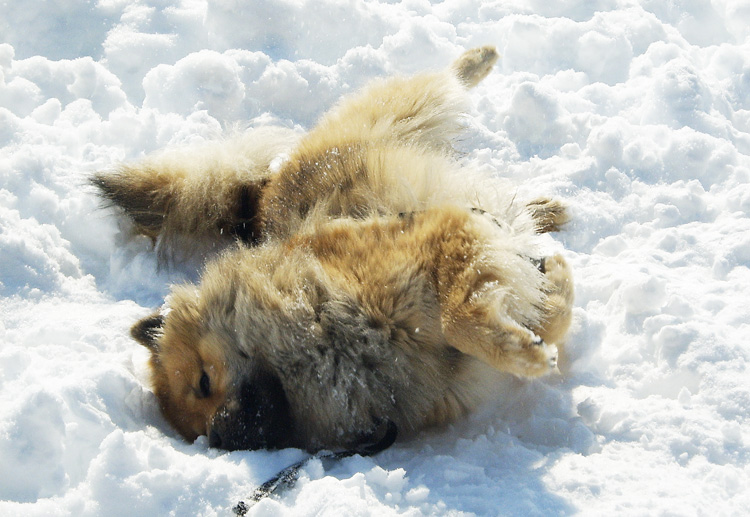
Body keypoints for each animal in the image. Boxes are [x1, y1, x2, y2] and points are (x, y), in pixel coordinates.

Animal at [94, 46, 576, 450]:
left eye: (203, 383)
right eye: (196, 433)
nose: (220, 439)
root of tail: (262, 189)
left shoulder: (440, 238)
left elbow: (462, 320)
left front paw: (531, 345)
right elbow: (536, 313)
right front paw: (550, 293)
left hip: (400, 116)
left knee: (439, 81)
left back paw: (479, 59)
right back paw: (543, 210)